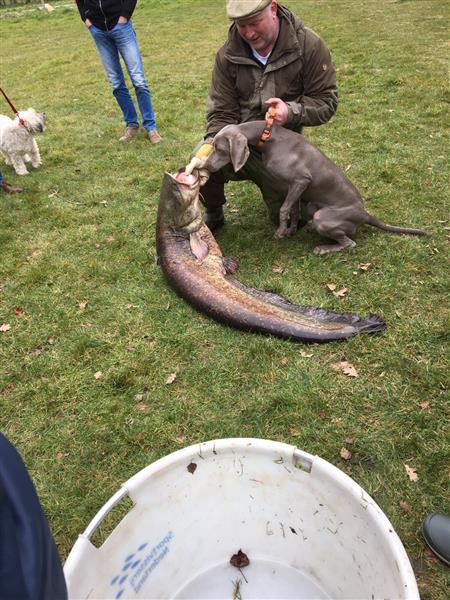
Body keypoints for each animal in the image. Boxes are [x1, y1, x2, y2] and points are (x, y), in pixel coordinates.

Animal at [204, 122, 429, 254]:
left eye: (219, 149)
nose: (206, 166)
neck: (269, 136)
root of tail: (365, 214)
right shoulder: (295, 188)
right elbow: (294, 211)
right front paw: (290, 230)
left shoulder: (301, 180)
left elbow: (284, 209)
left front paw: (280, 232)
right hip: (313, 205)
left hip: (323, 216)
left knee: (349, 243)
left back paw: (323, 248)